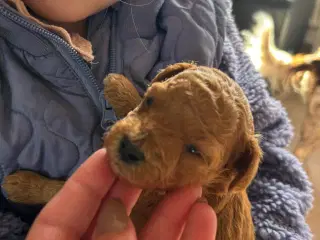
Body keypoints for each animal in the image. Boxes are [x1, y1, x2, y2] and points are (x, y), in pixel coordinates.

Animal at [1, 62, 262, 240]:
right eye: (150, 100)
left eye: (194, 150)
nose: (129, 148)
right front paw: (120, 87)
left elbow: (58, 191)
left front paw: (23, 185)